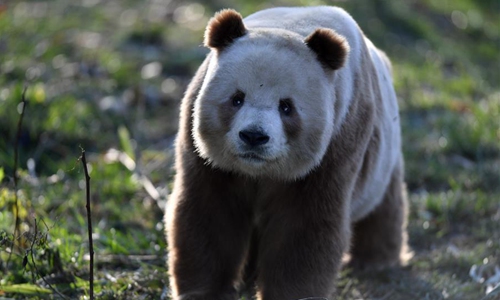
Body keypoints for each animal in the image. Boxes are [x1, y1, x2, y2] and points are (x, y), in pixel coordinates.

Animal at [166, 5, 408, 298]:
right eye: (237, 98)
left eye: (286, 107)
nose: (254, 136)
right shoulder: (203, 150)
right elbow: (210, 212)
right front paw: (204, 291)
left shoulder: (337, 145)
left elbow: (303, 229)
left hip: (384, 155)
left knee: (384, 207)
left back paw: (376, 261)